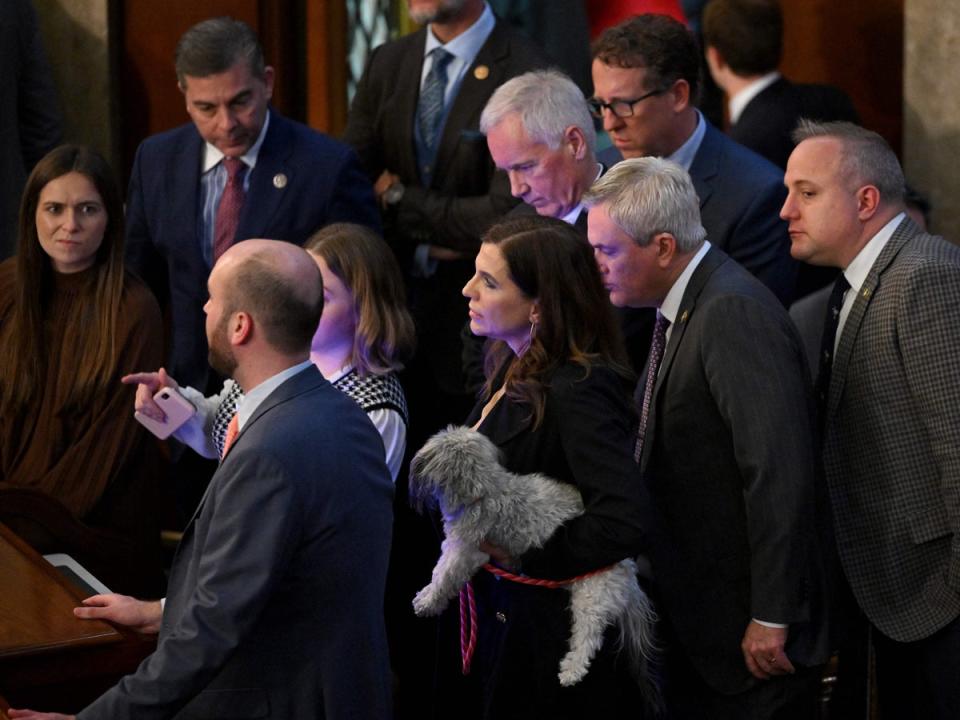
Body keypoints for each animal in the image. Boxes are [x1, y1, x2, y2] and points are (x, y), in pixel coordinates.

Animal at [408, 424, 656, 688]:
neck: (485, 490)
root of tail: (629, 567)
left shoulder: (466, 551)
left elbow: (444, 577)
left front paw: (428, 602)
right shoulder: (456, 545)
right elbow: (439, 570)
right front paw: (426, 594)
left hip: (592, 595)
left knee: (588, 637)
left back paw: (572, 670)